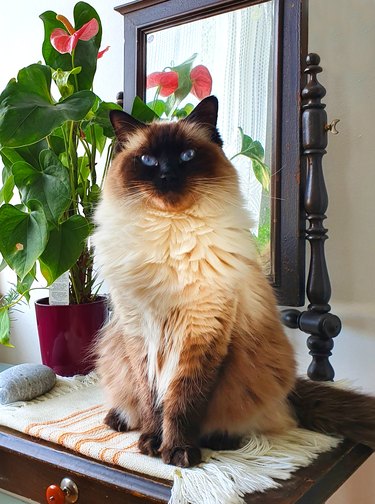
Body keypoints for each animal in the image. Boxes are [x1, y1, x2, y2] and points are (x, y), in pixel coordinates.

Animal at [93, 96, 375, 466]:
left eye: (187, 156)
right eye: (148, 161)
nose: (167, 175)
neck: (170, 231)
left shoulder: (201, 330)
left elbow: (182, 400)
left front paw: (178, 450)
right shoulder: (138, 330)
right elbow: (151, 400)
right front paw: (153, 441)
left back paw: (219, 439)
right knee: (131, 403)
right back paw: (120, 420)